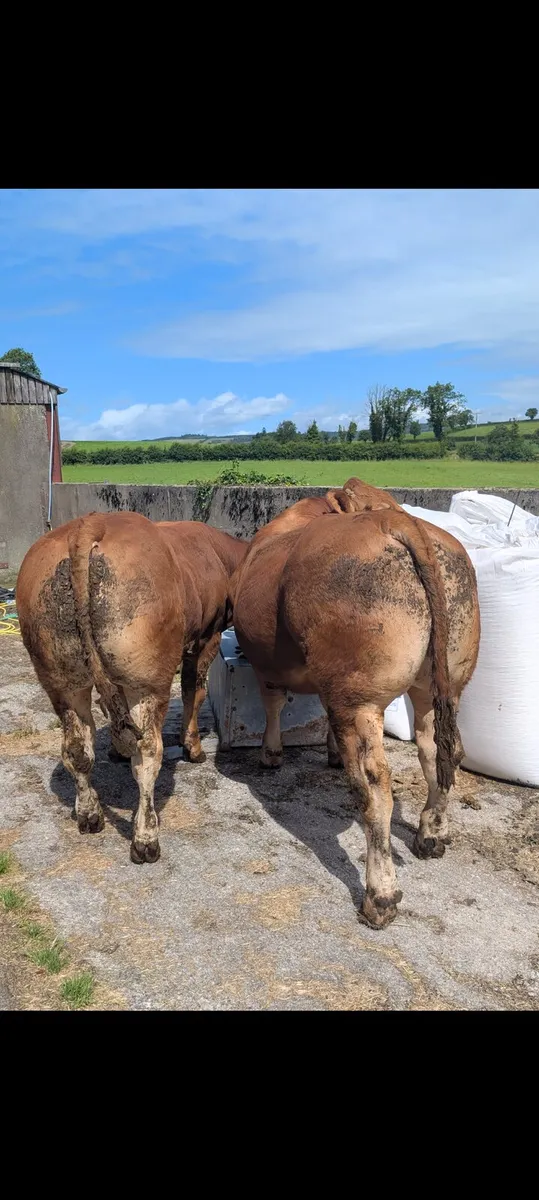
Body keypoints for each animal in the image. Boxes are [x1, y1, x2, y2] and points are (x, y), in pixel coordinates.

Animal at [17, 513, 248, 864]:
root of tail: (90, 524)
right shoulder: (206, 638)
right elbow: (194, 692)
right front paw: (193, 747)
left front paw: (115, 749)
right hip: (149, 679)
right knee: (148, 755)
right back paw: (146, 838)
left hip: (60, 677)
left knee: (77, 748)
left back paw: (89, 813)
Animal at [230, 477, 480, 929]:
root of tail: (395, 521)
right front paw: (329, 752)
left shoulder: (267, 665)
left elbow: (273, 703)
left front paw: (271, 753)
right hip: (443, 682)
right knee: (439, 750)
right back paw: (431, 833)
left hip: (358, 697)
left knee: (374, 789)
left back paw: (380, 894)